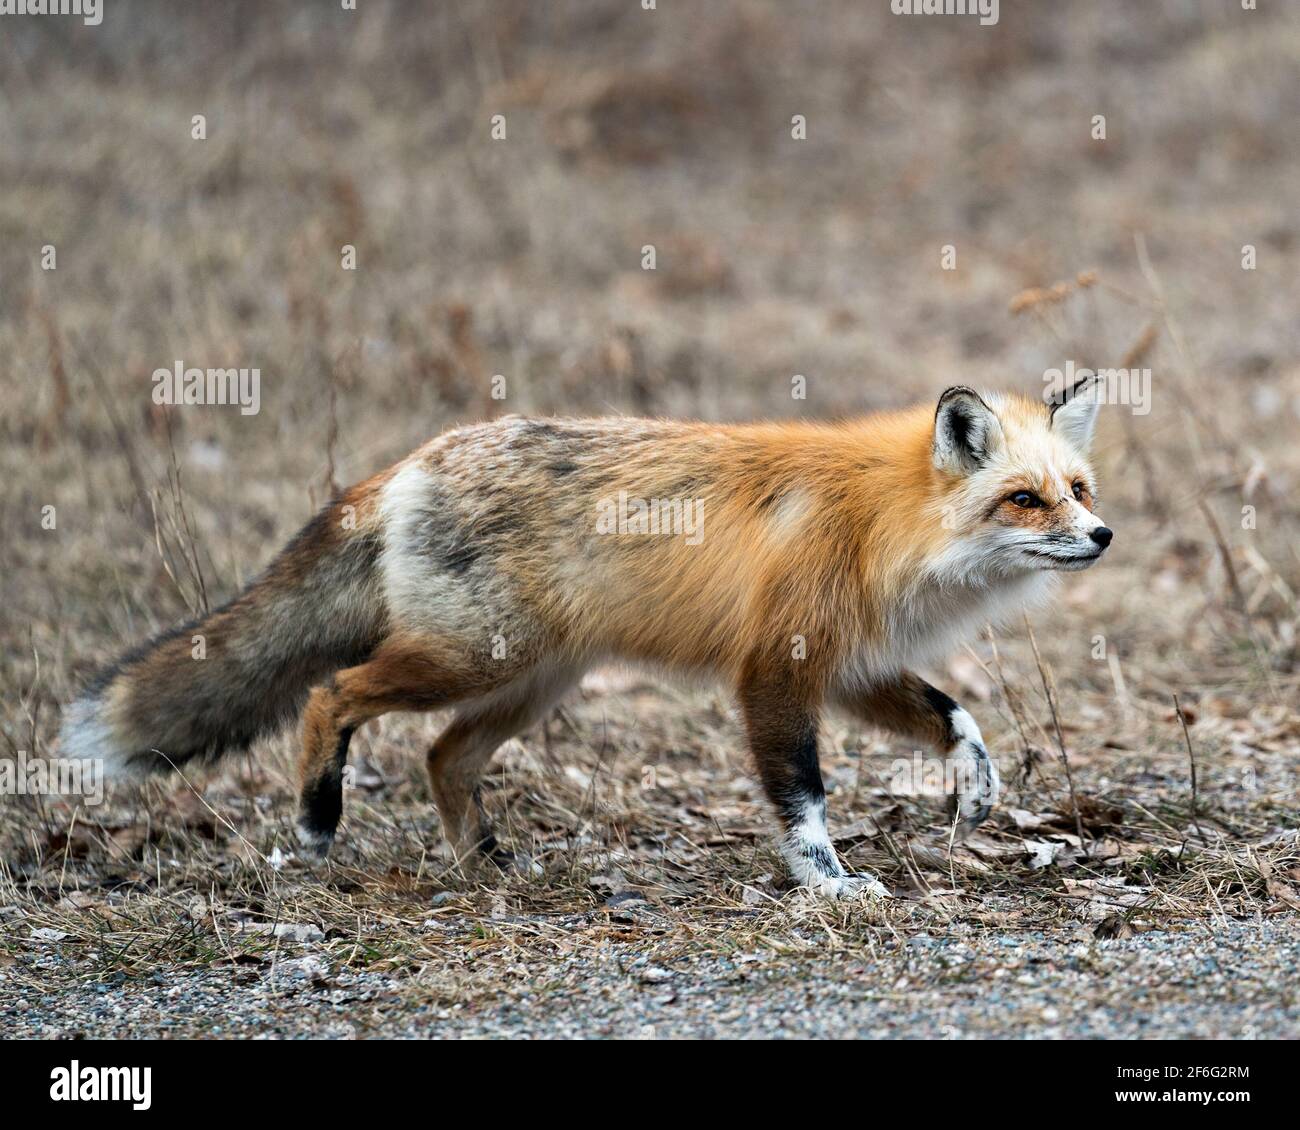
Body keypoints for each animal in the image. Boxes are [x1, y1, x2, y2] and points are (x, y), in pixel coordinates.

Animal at [63, 379, 1107, 899]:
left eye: (1078, 488)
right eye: (1024, 498)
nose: (1100, 536)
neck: (878, 521)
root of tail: (408, 463)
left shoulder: (853, 668)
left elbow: (959, 721)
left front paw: (977, 794)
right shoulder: (776, 671)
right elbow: (803, 798)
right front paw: (829, 885)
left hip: (529, 683)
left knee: (444, 757)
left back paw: (484, 866)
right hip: (472, 659)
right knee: (331, 695)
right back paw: (318, 826)